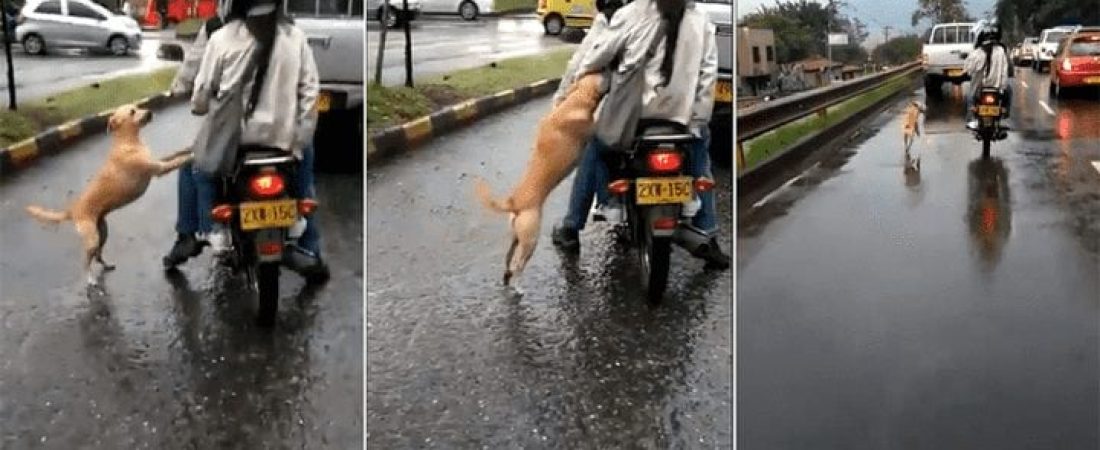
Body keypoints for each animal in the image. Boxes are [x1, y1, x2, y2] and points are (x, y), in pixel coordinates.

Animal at [24, 103, 191, 286]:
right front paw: (192, 156)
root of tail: (72, 210)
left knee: (97, 255)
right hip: (92, 239)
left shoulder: (158, 162)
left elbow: (176, 153)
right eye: (132, 112)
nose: (149, 112)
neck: (127, 143)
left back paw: (107, 265)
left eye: (138, 107)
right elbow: (178, 160)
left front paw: (189, 147)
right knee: (86, 261)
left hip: (103, 233)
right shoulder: (160, 169)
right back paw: (90, 279)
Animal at [475, 72, 607, 288]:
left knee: (508, 260)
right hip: (531, 239)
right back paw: (518, 286)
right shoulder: (591, 128)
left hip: (517, 237)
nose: (612, 68)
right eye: (603, 73)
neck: (575, 100)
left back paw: (506, 277)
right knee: (518, 266)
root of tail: (515, 203)